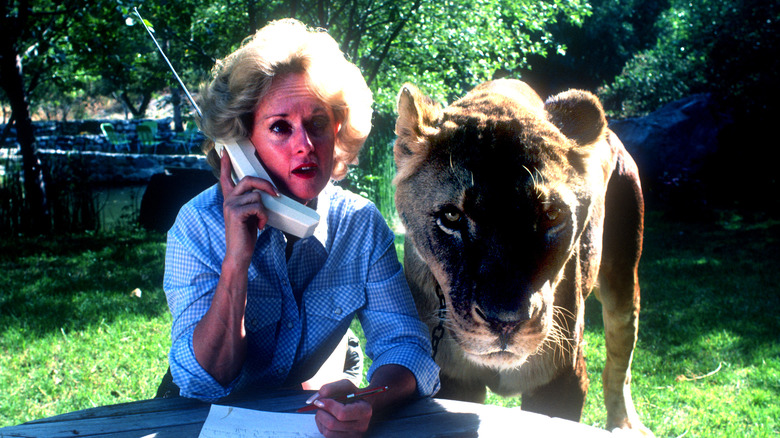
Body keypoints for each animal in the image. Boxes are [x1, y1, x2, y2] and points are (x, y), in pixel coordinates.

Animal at [390, 79, 652, 434]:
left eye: (552, 215)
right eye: (451, 217)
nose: (506, 322)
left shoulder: (564, 378)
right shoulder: (452, 382)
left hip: (622, 278)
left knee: (619, 360)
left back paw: (625, 425)